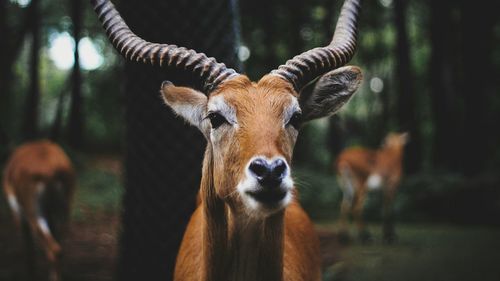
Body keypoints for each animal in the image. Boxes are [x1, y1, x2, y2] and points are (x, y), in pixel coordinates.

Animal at [2, 140, 75, 280]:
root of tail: (49, 171)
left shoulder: (18, 213)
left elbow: (28, 246)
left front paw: (30, 273)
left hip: (35, 214)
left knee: (53, 249)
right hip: (63, 211)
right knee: (59, 248)